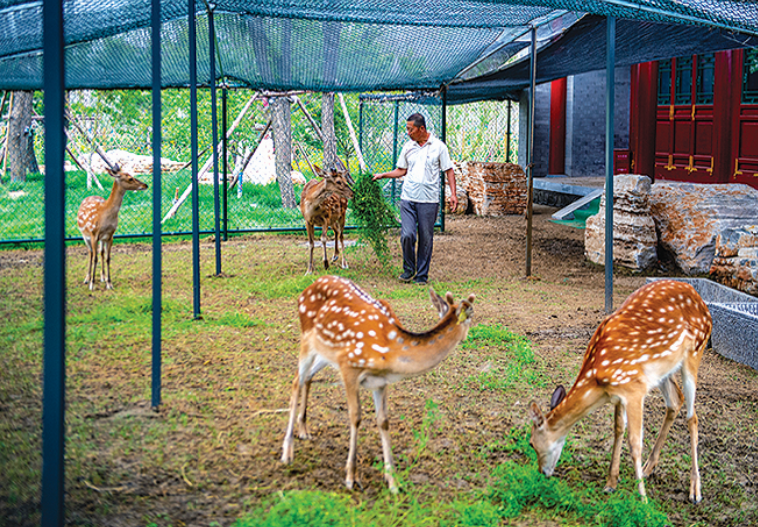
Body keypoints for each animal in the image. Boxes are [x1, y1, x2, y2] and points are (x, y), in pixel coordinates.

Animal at [282, 276, 478, 496]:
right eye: (472, 317)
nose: (467, 336)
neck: (390, 353)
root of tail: (310, 286)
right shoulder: (348, 366)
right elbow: (355, 417)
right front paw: (351, 478)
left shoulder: (380, 382)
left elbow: (383, 421)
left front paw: (392, 481)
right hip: (306, 339)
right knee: (296, 380)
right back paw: (287, 452)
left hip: (325, 352)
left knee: (307, 377)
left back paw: (304, 430)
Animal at [528, 278, 712, 506]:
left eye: (531, 443)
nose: (541, 472)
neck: (598, 381)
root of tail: (701, 300)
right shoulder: (618, 394)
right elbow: (617, 429)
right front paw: (610, 483)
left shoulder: (634, 389)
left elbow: (635, 442)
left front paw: (643, 499)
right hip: (663, 370)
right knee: (675, 400)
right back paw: (649, 468)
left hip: (695, 351)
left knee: (692, 416)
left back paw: (695, 490)